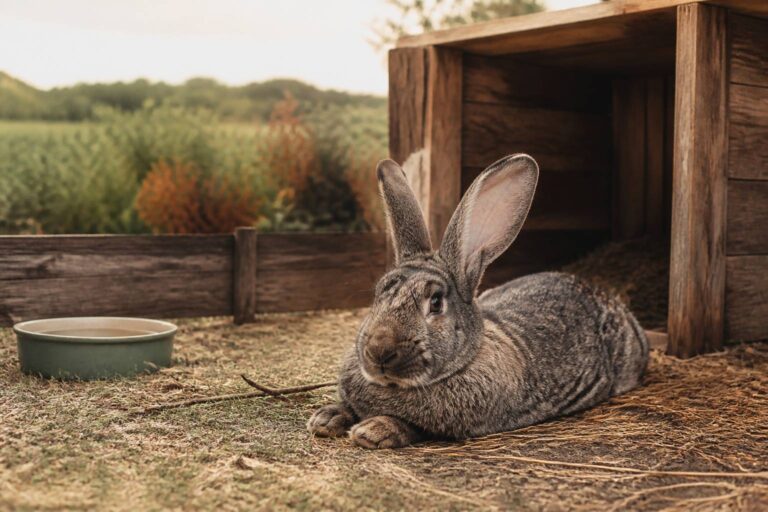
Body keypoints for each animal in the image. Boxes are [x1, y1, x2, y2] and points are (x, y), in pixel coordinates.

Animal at [307, 153, 649, 449]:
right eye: (379, 293)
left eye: (435, 303)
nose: (379, 351)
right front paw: (325, 418)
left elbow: (414, 426)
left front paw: (373, 430)